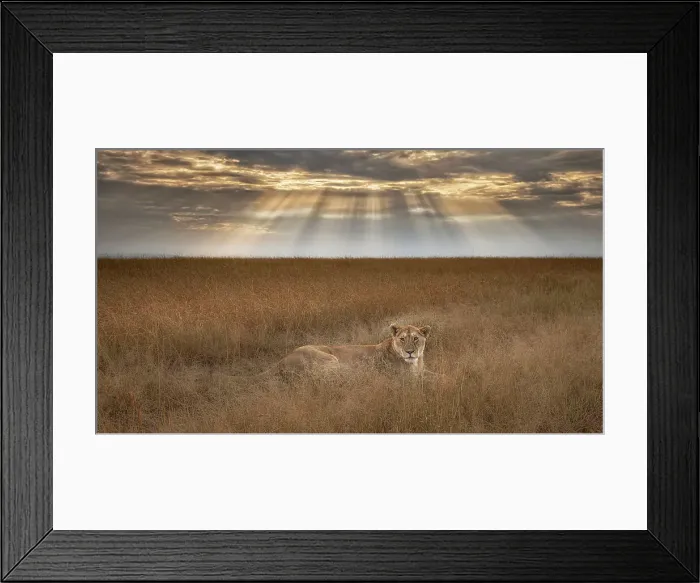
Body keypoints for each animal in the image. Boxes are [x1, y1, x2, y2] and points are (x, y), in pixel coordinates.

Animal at [256, 323, 432, 378]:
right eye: (402, 339)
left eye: (415, 338)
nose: (410, 352)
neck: (416, 362)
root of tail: (282, 360)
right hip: (331, 359)